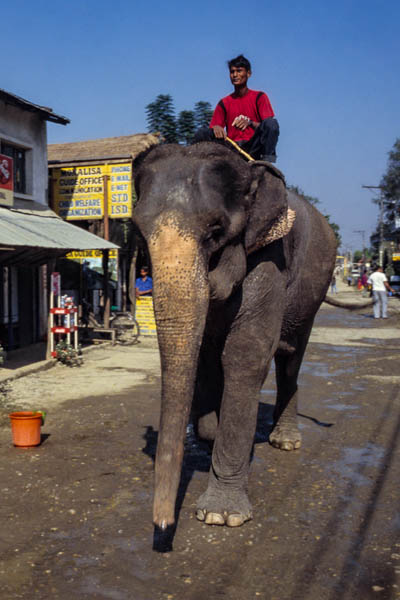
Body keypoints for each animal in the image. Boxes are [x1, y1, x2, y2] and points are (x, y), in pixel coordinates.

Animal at [134, 141, 338, 528]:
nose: (163, 524)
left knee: (291, 358)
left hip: (312, 293)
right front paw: (209, 434)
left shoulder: (268, 257)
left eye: (216, 231)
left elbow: (245, 356)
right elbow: (206, 356)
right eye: (138, 231)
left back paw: (285, 441)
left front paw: (220, 515)